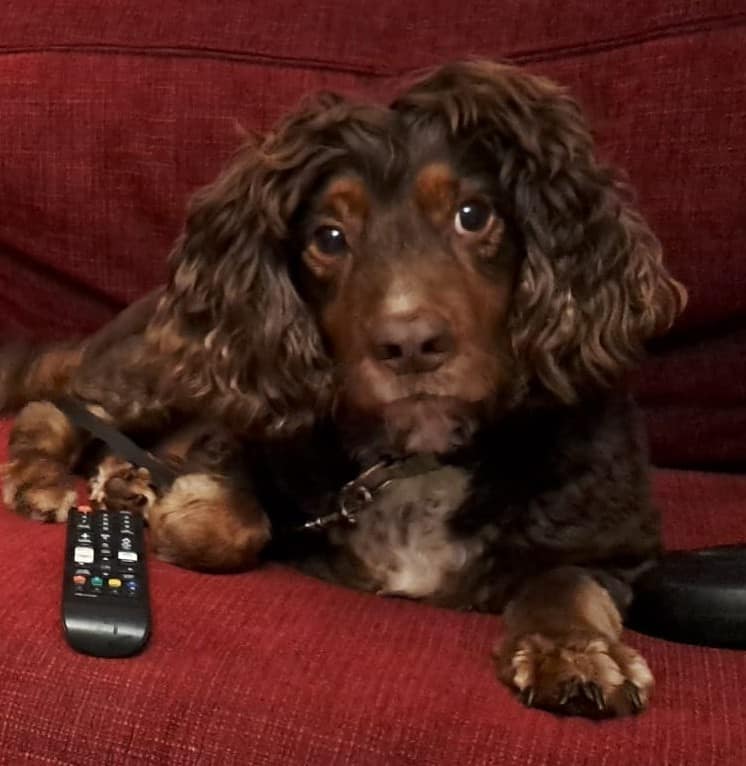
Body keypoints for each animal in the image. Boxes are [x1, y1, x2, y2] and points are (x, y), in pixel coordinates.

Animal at [0, 60, 686, 718]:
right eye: (327, 237)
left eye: (474, 215)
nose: (410, 345)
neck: (415, 460)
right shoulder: (248, 429)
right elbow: (233, 520)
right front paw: (181, 513)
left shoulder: (618, 544)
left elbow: (567, 580)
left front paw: (572, 651)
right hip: (169, 365)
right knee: (59, 405)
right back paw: (45, 479)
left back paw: (126, 477)